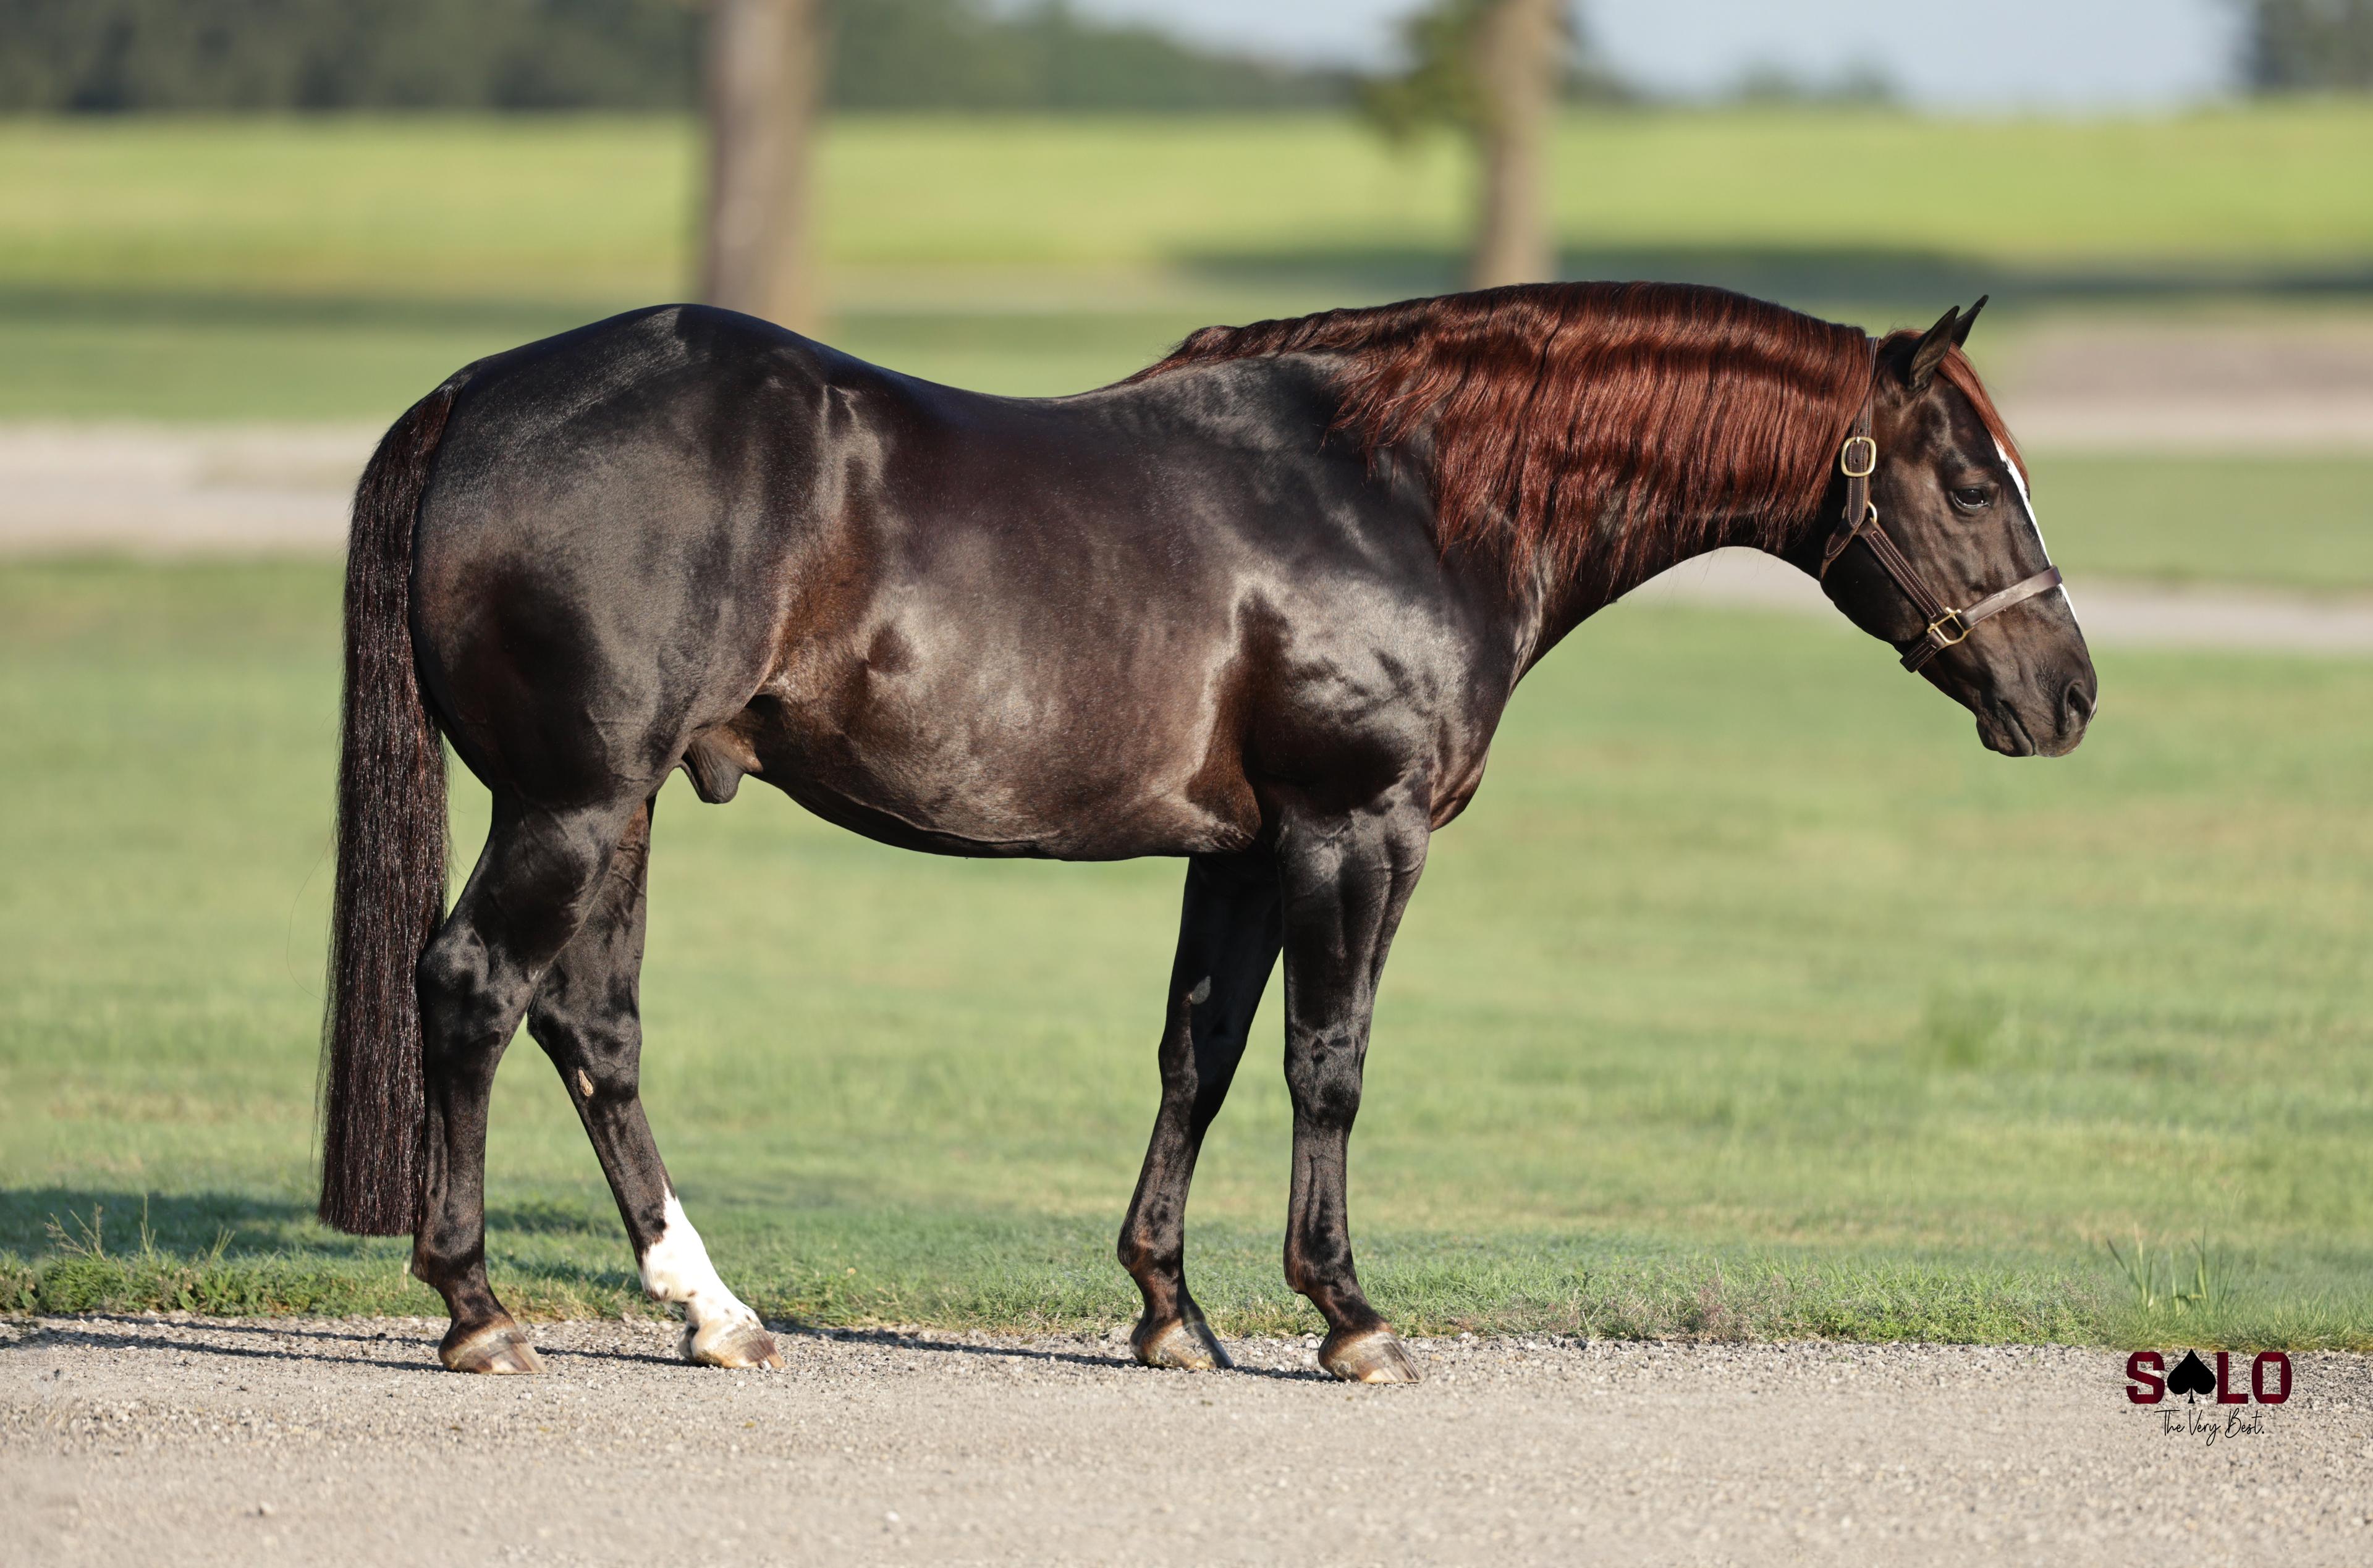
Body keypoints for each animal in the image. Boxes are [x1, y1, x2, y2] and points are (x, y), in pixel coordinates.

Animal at [316, 281, 2094, 1381]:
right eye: (1970, 484)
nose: (2069, 694)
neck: (1405, 490)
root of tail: (479, 395)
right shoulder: (1355, 833)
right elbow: (1329, 1065)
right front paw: (1350, 1313)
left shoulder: (1238, 853)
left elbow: (1201, 1054)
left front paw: (1169, 1306)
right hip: (575, 799)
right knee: (474, 989)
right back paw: (477, 1308)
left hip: (613, 806)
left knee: (592, 1026)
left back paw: (713, 1309)